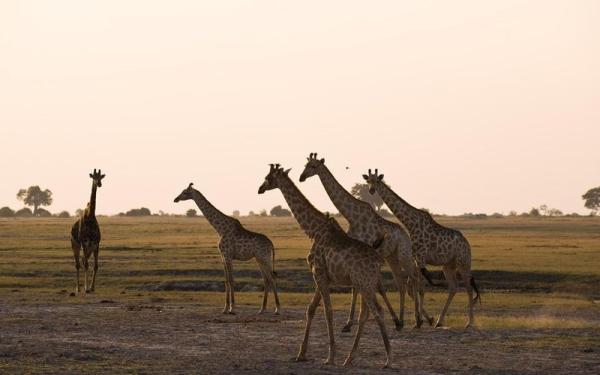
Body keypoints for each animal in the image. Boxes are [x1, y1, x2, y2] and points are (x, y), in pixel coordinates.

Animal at [173, 182, 282, 314]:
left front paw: (232, 308)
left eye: (185, 192)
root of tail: (271, 244)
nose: (175, 199)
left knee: (272, 278)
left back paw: (277, 309)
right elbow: (226, 281)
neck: (220, 229)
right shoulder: (222, 256)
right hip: (259, 259)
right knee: (266, 280)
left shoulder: (228, 255)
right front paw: (225, 308)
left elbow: (231, 280)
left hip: (264, 258)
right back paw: (262, 309)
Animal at [258, 165, 394, 370]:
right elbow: (311, 309)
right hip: (364, 285)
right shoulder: (320, 276)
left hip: (364, 283)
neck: (313, 231)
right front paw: (301, 354)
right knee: (365, 313)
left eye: (268, 177)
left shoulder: (319, 273)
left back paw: (387, 359)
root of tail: (378, 261)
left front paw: (330, 357)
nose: (260, 189)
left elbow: (327, 311)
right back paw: (349, 358)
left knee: (377, 311)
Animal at [298, 151, 422, 330]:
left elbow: (359, 288)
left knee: (413, 277)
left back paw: (419, 320)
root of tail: (406, 234)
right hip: (391, 256)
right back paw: (401, 321)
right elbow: (356, 288)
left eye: (313, 166)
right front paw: (349, 323)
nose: (301, 177)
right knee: (401, 282)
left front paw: (351, 323)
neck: (351, 216)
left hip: (403, 254)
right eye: (305, 165)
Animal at [364, 168, 480, 328]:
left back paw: (469, 322)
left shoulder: (420, 258)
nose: (371, 190)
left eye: (377, 181)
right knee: (453, 287)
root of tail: (467, 244)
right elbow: (413, 287)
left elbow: (420, 287)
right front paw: (421, 320)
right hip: (448, 265)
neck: (410, 223)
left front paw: (418, 321)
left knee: (468, 287)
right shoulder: (415, 258)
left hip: (463, 262)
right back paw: (439, 321)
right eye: (368, 181)